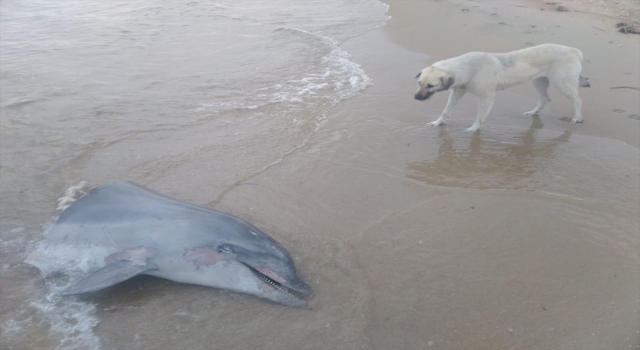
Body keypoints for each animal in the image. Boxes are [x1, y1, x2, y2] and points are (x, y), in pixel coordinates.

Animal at [416, 43, 592, 131]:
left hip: (563, 82)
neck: (469, 68)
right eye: (419, 83)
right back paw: (533, 112)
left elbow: (479, 117)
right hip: (539, 82)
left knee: (577, 100)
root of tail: (575, 50)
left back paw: (577, 117)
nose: (416, 97)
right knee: (544, 99)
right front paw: (438, 122)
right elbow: (446, 111)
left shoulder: (486, 98)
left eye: (431, 85)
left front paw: (473, 130)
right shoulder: (458, 91)